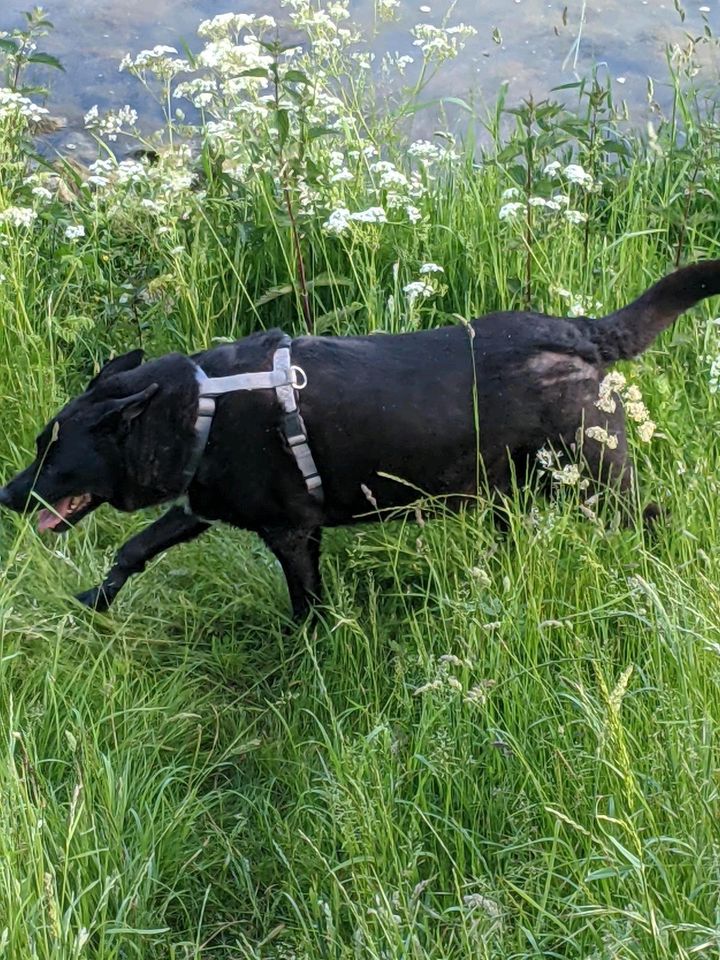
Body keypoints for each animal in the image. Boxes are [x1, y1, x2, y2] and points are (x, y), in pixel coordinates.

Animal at [0, 260, 716, 616]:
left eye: (51, 452)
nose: (6, 495)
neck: (201, 406)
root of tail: (579, 331)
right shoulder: (199, 507)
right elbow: (134, 548)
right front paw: (94, 600)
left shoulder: (291, 534)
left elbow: (305, 604)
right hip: (511, 487)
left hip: (594, 477)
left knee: (654, 516)